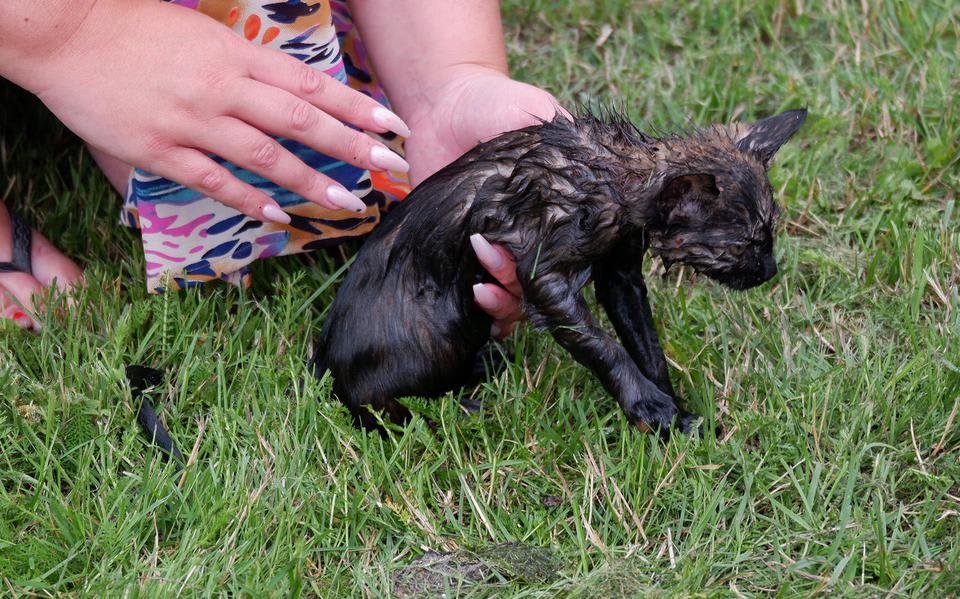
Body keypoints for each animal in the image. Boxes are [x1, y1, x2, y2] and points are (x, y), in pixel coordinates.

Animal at [312, 106, 808, 436]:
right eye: (744, 244)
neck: (614, 176)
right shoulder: (545, 277)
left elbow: (645, 344)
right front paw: (649, 405)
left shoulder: (621, 275)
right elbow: (607, 348)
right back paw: (463, 408)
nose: (770, 271)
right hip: (438, 329)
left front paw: (675, 408)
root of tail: (324, 367)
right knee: (381, 412)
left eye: (770, 233)